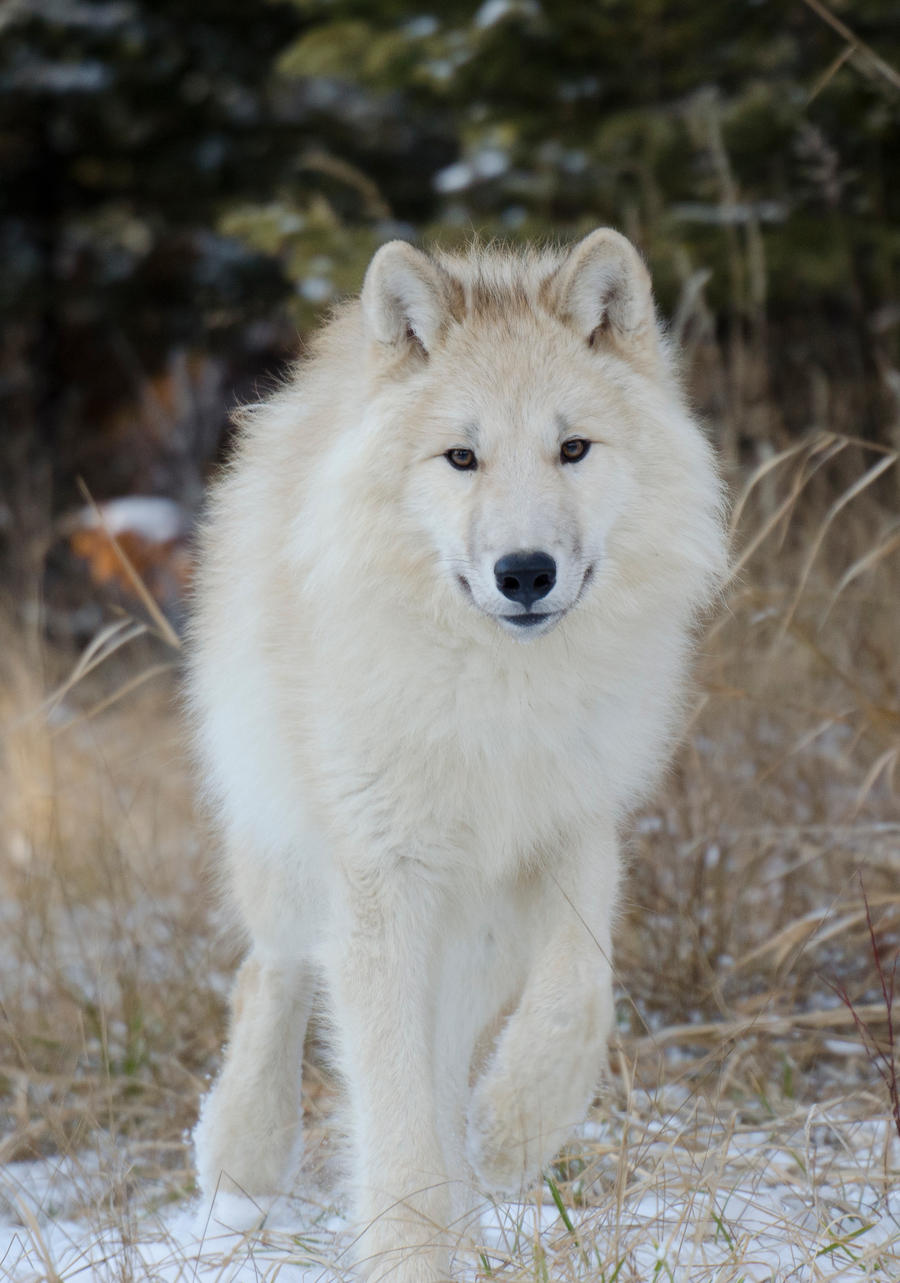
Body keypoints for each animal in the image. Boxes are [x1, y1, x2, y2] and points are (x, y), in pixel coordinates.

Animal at [187, 225, 724, 1277]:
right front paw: (407, 1249)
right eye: (462, 456)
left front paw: (517, 1126)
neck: (498, 700)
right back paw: (243, 1152)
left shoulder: (574, 827)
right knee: (271, 971)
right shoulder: (382, 880)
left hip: (477, 936)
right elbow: (388, 1099)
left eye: (572, 448)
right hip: (294, 864)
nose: (525, 573)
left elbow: (582, 986)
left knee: (441, 1056)